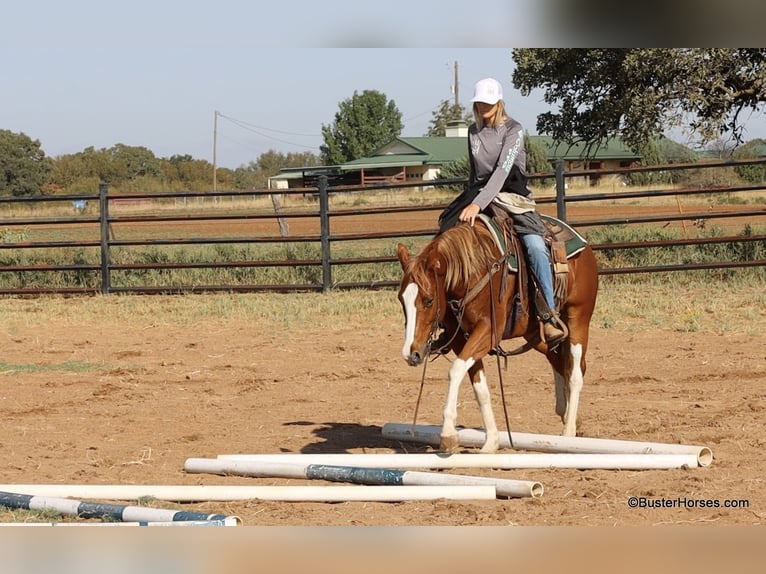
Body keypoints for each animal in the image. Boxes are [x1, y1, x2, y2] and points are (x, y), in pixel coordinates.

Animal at [396, 216, 599, 453]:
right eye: (401, 299)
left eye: (428, 300)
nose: (411, 353)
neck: (474, 273)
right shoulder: (461, 339)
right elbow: (479, 387)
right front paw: (491, 441)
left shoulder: (488, 331)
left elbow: (455, 371)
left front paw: (448, 434)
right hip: (536, 333)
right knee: (559, 361)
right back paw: (566, 414)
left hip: (578, 319)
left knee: (575, 373)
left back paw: (568, 432)